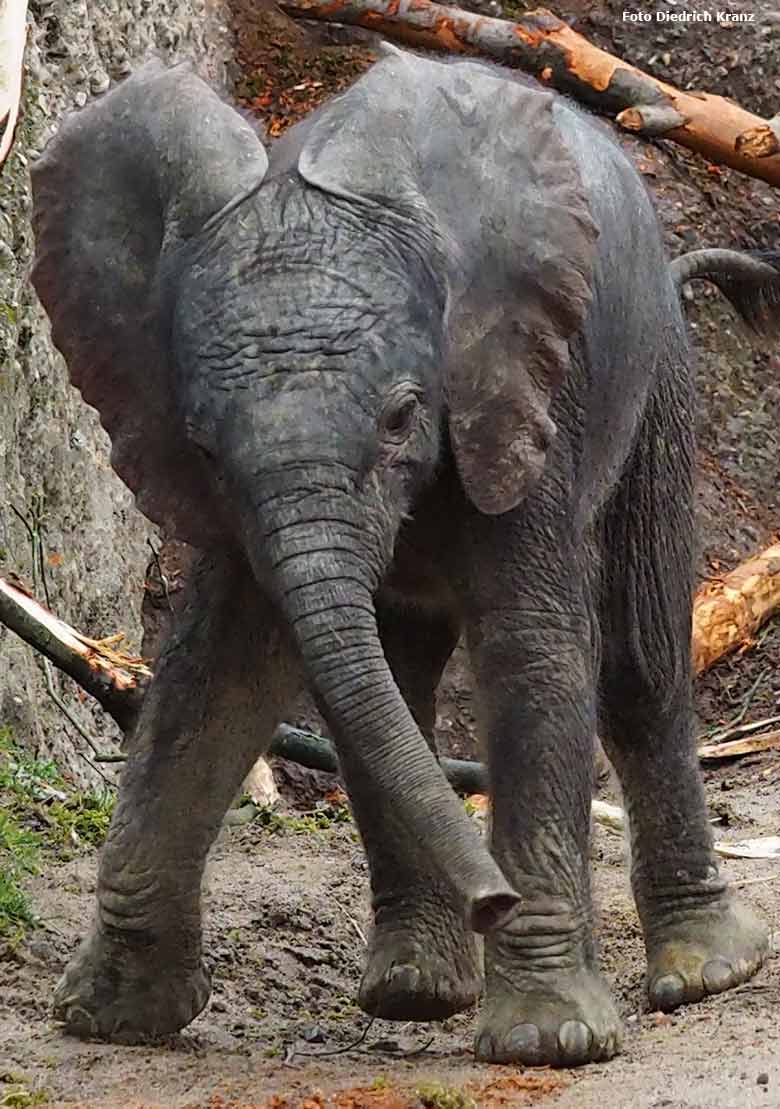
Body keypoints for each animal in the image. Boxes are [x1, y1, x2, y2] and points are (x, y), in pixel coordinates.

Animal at [32, 43, 780, 1064]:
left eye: (400, 417)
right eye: (203, 448)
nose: (491, 899)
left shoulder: (528, 384)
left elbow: (534, 647)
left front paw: (547, 1041)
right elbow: (225, 664)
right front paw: (108, 1018)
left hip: (657, 364)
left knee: (638, 657)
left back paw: (704, 973)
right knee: (398, 665)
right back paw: (416, 991)